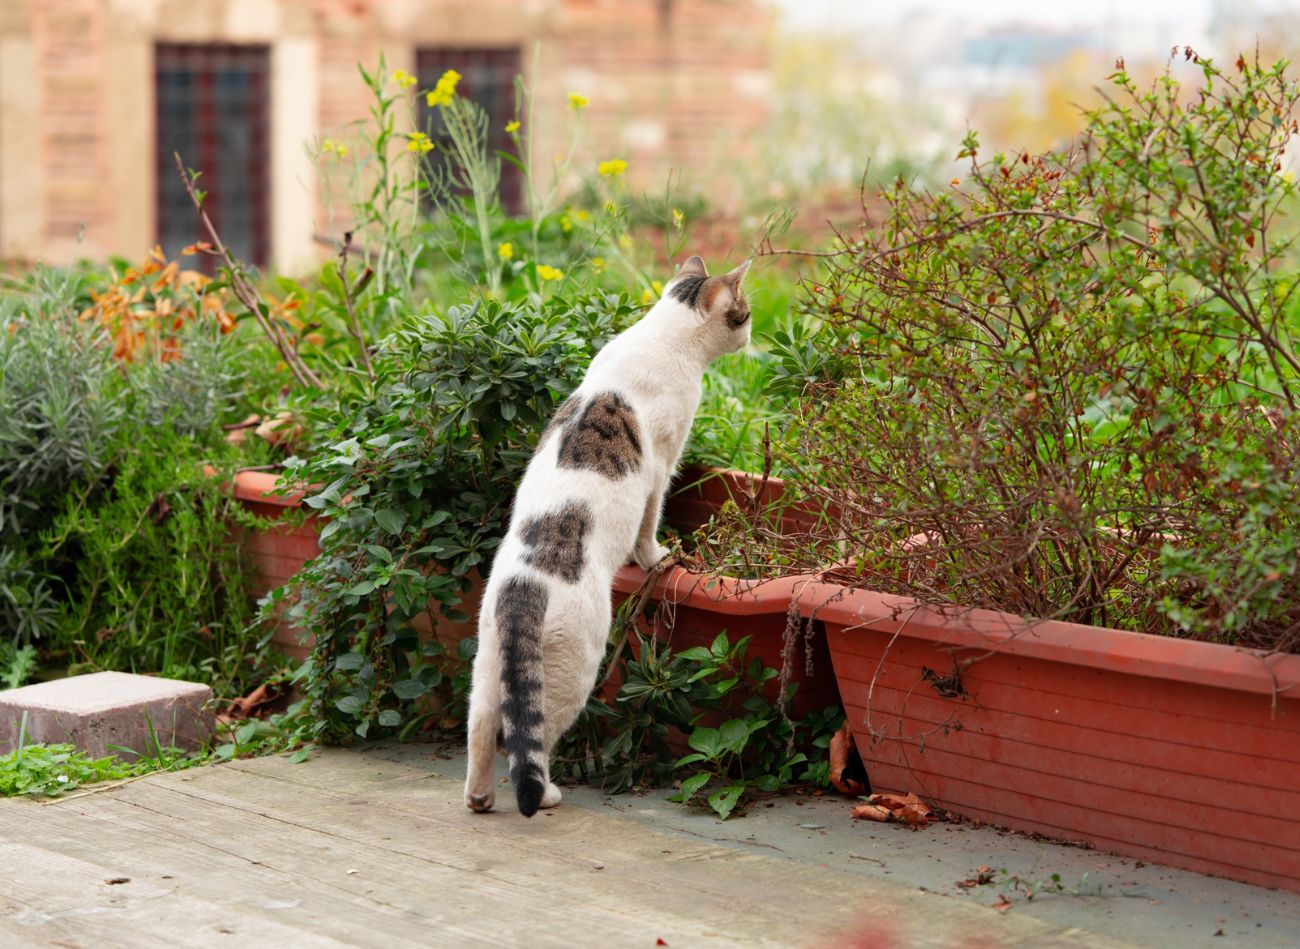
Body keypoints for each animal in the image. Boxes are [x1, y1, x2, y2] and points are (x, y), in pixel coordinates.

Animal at [465, 250, 754, 811]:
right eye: (744, 313)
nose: (753, 335)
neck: (663, 336)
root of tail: (522, 587)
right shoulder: (662, 466)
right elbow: (651, 522)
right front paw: (657, 557)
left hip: (489, 660)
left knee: (482, 723)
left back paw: (479, 798)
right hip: (572, 670)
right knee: (528, 735)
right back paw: (547, 794)